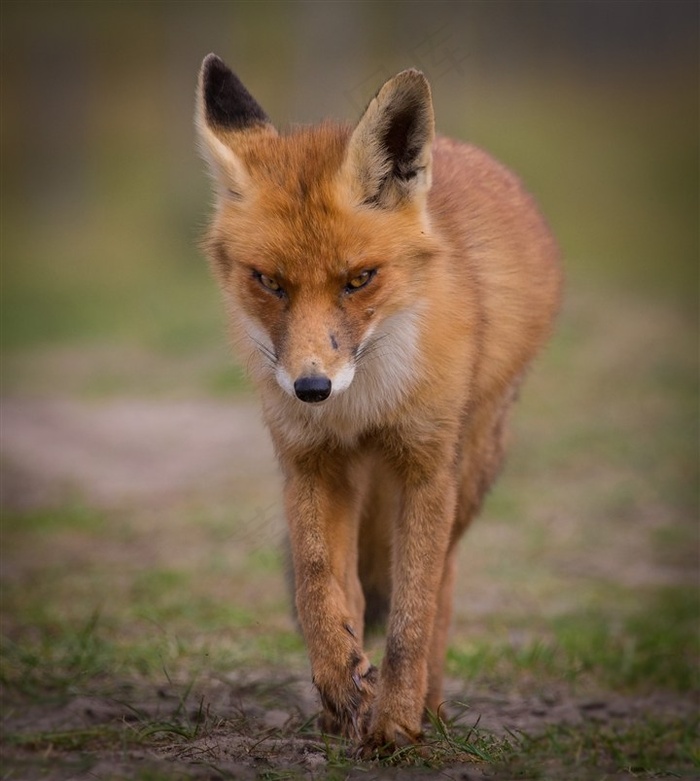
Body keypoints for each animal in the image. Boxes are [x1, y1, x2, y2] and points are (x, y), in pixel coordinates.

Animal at [196, 54, 564, 756]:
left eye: (359, 279)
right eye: (269, 282)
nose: (311, 388)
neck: (361, 408)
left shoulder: (426, 465)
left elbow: (413, 613)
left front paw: (395, 722)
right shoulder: (309, 460)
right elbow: (319, 585)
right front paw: (341, 683)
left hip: (470, 469)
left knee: (441, 584)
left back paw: (432, 708)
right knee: (358, 592)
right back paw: (340, 709)